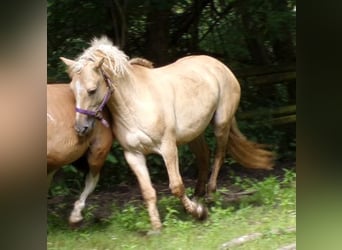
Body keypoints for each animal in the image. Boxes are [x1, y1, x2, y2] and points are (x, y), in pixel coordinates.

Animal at [61, 36, 274, 231]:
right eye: (72, 89)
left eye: (92, 90)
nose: (80, 128)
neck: (135, 103)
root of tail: (219, 65)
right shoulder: (133, 155)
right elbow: (147, 191)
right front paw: (156, 227)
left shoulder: (168, 147)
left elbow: (176, 186)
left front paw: (198, 213)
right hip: (194, 134)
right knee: (204, 157)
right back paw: (198, 196)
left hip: (221, 124)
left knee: (219, 156)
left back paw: (209, 196)